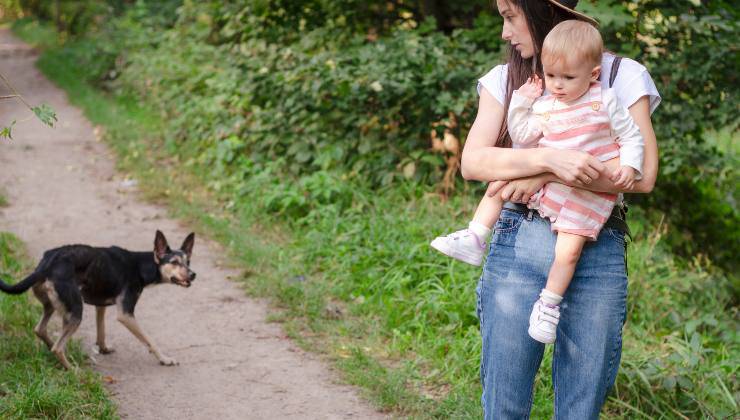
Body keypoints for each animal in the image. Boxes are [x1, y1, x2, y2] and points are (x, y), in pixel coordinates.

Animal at [0, 231, 195, 370]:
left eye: (188, 262)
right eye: (175, 262)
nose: (193, 275)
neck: (141, 266)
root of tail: (46, 264)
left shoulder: (100, 306)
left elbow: (101, 331)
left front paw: (103, 349)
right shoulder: (126, 314)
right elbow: (149, 340)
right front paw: (165, 359)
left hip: (56, 306)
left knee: (41, 330)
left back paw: (56, 352)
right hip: (75, 311)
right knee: (58, 347)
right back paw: (73, 369)